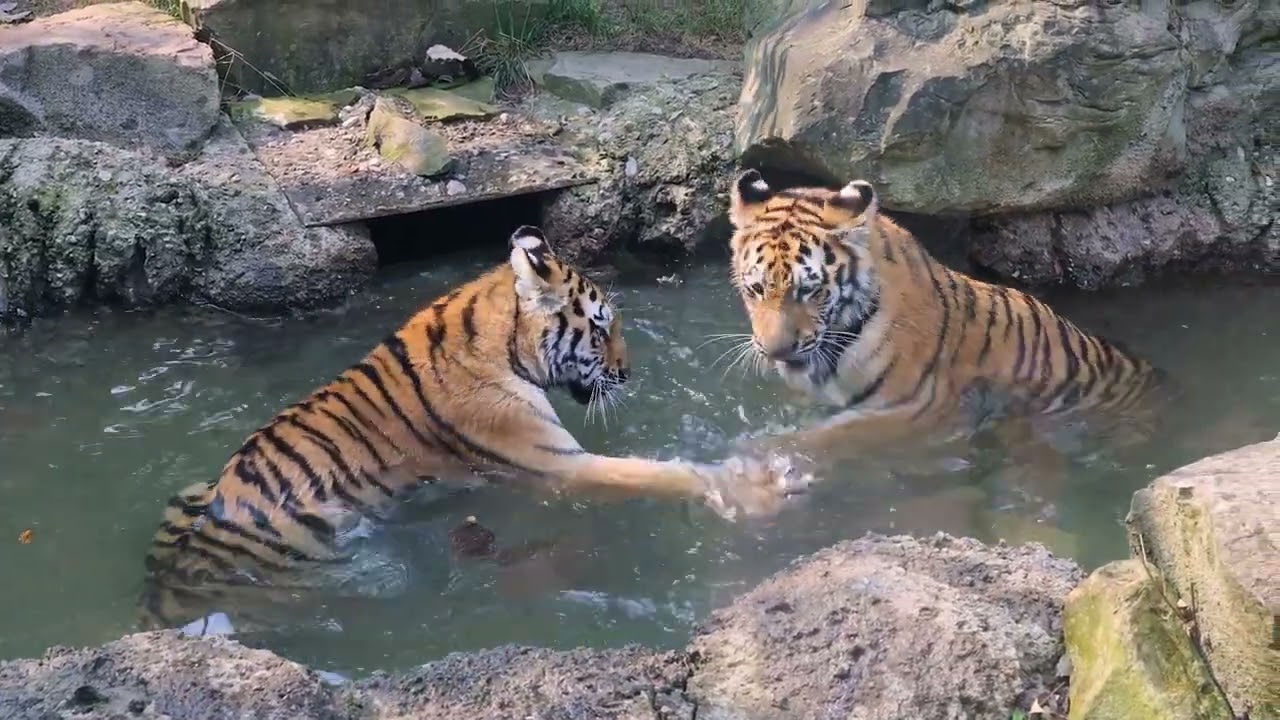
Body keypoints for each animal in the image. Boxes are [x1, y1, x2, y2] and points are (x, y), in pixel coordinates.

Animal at [139, 224, 805, 632]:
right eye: (600, 327)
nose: (628, 371)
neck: (501, 340)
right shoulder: (555, 462)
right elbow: (655, 473)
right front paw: (749, 486)